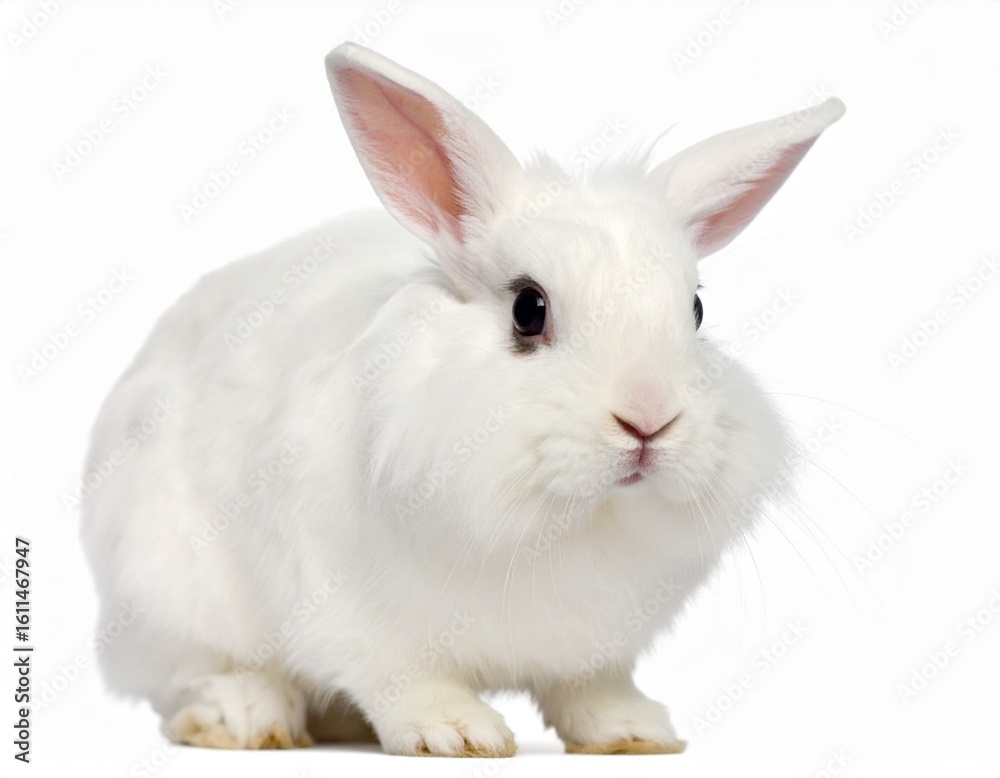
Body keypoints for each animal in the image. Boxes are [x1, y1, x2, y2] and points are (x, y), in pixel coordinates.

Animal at [79, 41, 844, 757]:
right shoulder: (344, 607)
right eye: (529, 309)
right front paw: (456, 733)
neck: (567, 518)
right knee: (200, 669)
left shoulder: (596, 645)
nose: (649, 419)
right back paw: (246, 718)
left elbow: (590, 687)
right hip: (168, 587)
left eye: (696, 311)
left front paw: (633, 731)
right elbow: (400, 676)